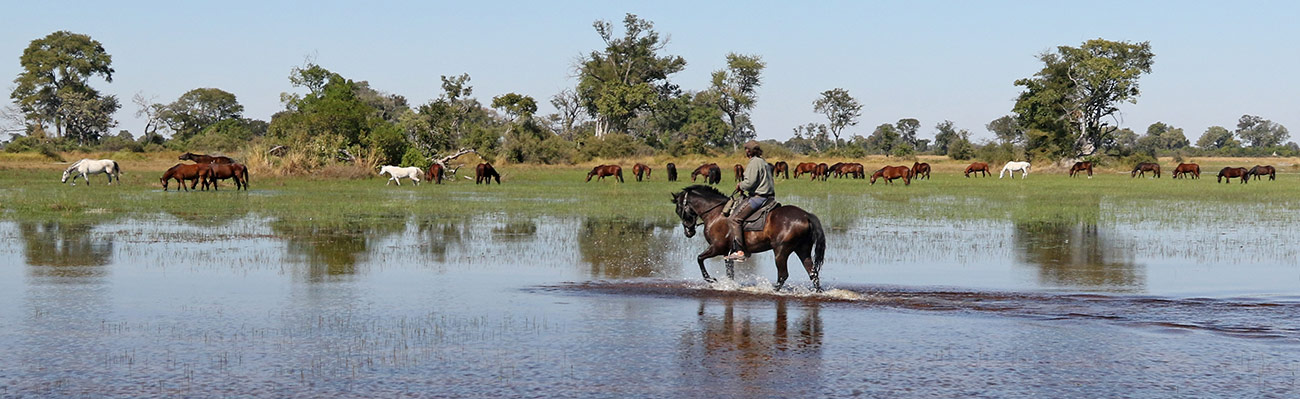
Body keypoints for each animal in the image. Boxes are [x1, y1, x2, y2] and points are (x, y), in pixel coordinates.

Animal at [676, 185, 826, 292]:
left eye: (679, 209)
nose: (688, 232)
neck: (716, 213)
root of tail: (806, 215)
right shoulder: (726, 253)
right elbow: (730, 273)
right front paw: (729, 286)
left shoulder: (716, 248)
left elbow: (699, 258)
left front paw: (712, 280)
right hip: (802, 249)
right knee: (813, 273)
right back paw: (818, 291)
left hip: (781, 251)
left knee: (783, 275)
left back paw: (771, 290)